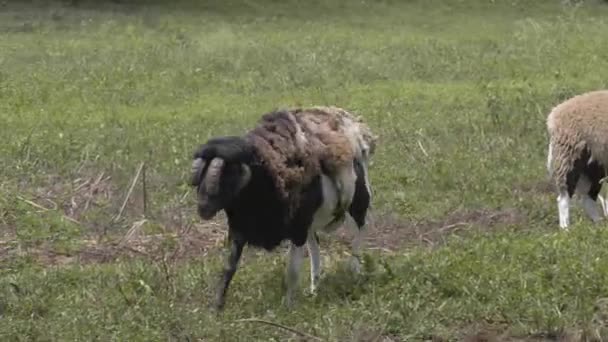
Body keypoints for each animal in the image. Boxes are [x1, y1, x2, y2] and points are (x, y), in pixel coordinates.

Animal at [190, 105, 378, 310]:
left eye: (230, 173)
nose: (203, 208)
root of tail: (359, 131)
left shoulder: (297, 229)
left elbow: (292, 271)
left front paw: (287, 307)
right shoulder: (239, 229)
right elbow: (229, 266)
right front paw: (217, 306)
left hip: (357, 202)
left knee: (360, 230)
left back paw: (354, 272)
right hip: (311, 223)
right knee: (315, 247)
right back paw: (315, 289)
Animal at [548, 90, 608, 230]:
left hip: (594, 163)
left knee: (588, 198)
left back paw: (599, 225)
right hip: (568, 156)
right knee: (563, 198)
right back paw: (566, 229)